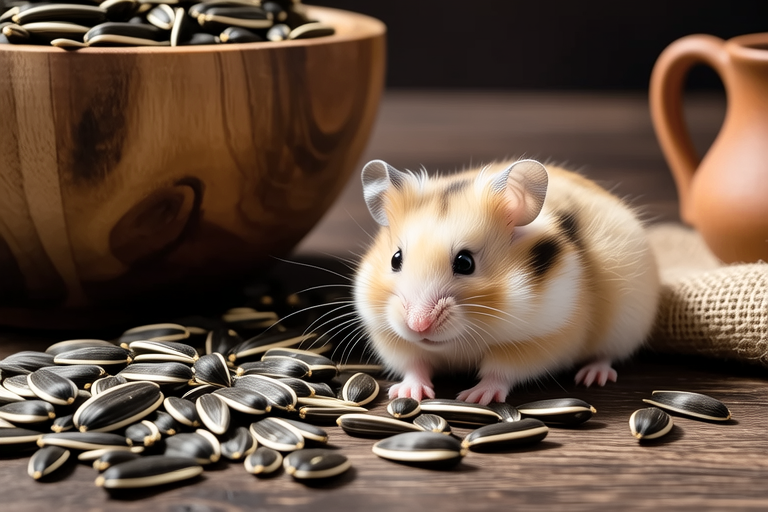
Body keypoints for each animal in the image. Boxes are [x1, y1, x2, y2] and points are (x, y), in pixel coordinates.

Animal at [353, 159, 660, 405]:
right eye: (395, 259)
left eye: (465, 263)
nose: (418, 326)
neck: (461, 340)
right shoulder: (391, 338)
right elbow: (414, 364)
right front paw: (407, 393)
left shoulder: (540, 340)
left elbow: (499, 371)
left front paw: (474, 398)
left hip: (625, 324)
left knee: (607, 355)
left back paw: (592, 376)